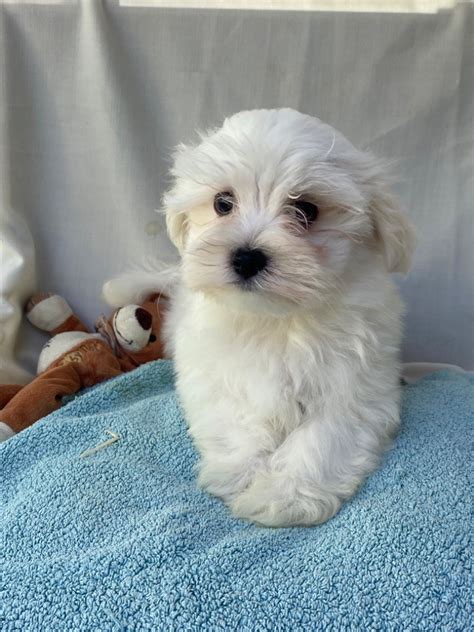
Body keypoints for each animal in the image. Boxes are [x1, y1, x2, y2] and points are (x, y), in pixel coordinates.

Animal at [104, 110, 414, 528]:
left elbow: (322, 438)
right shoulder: (213, 376)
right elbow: (237, 421)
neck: (274, 319)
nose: (246, 257)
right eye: (223, 203)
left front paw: (283, 496)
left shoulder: (355, 387)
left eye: (307, 210)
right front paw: (242, 475)